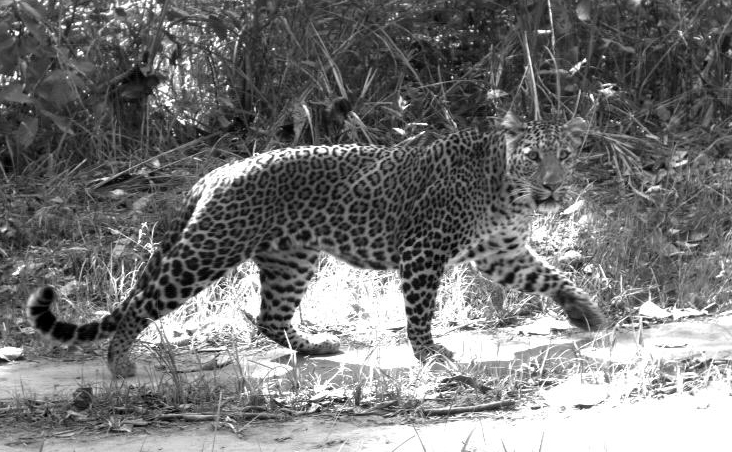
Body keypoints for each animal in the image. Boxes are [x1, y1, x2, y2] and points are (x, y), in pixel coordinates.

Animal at [27, 112, 608, 378]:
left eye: (565, 154)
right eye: (533, 156)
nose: (553, 186)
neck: (507, 191)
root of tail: (218, 173)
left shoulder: (500, 251)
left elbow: (550, 275)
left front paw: (586, 313)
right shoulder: (424, 251)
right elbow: (420, 310)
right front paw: (428, 355)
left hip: (291, 259)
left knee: (268, 317)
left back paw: (314, 346)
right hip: (207, 251)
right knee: (141, 305)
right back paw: (119, 362)